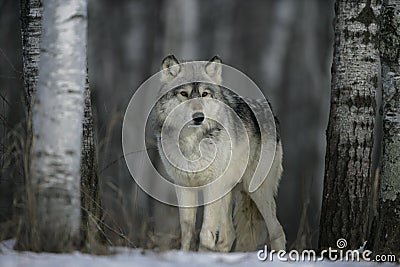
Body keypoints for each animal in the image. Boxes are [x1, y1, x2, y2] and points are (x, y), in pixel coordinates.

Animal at [152, 55, 286, 252]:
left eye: (204, 94)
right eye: (183, 94)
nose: (198, 117)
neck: (193, 142)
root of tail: (271, 112)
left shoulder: (211, 185)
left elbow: (205, 232)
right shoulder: (183, 186)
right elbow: (187, 232)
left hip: (256, 190)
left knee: (277, 230)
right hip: (228, 192)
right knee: (229, 234)